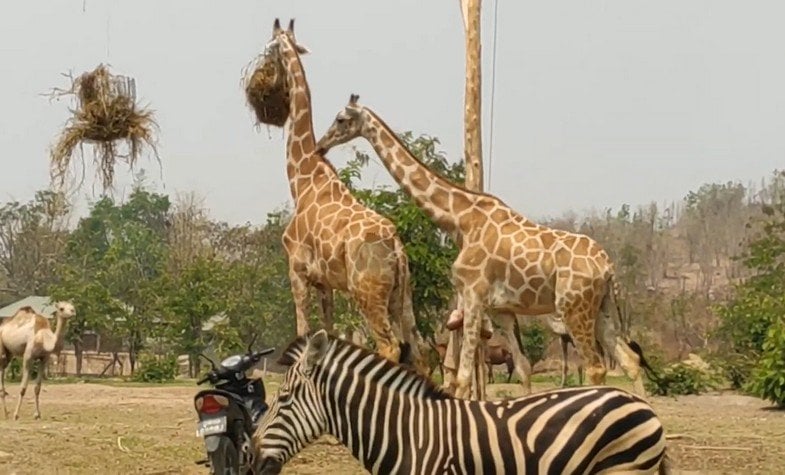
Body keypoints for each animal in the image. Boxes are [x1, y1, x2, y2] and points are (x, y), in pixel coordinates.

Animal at [260, 19, 426, 376]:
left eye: (270, 48)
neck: (303, 179)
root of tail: (396, 247)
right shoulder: (326, 283)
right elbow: (328, 334)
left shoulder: (296, 271)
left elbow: (302, 332)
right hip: (402, 296)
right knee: (418, 350)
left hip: (367, 294)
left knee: (389, 346)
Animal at [316, 95, 648, 400]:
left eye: (341, 119)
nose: (321, 145)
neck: (459, 219)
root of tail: (607, 266)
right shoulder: (502, 309)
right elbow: (523, 367)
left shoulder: (473, 295)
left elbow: (463, 377)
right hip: (600, 309)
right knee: (630, 360)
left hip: (574, 308)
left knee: (596, 367)